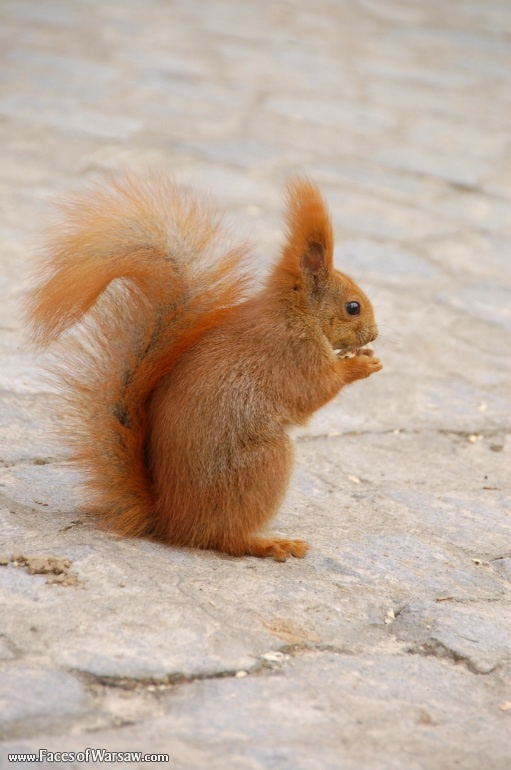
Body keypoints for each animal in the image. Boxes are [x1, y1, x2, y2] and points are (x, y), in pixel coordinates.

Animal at [27, 175, 382, 561]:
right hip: (264, 465)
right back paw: (269, 543)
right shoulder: (295, 354)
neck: (295, 313)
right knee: (225, 539)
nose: (375, 335)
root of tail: (171, 522)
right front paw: (362, 364)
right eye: (352, 307)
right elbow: (315, 390)